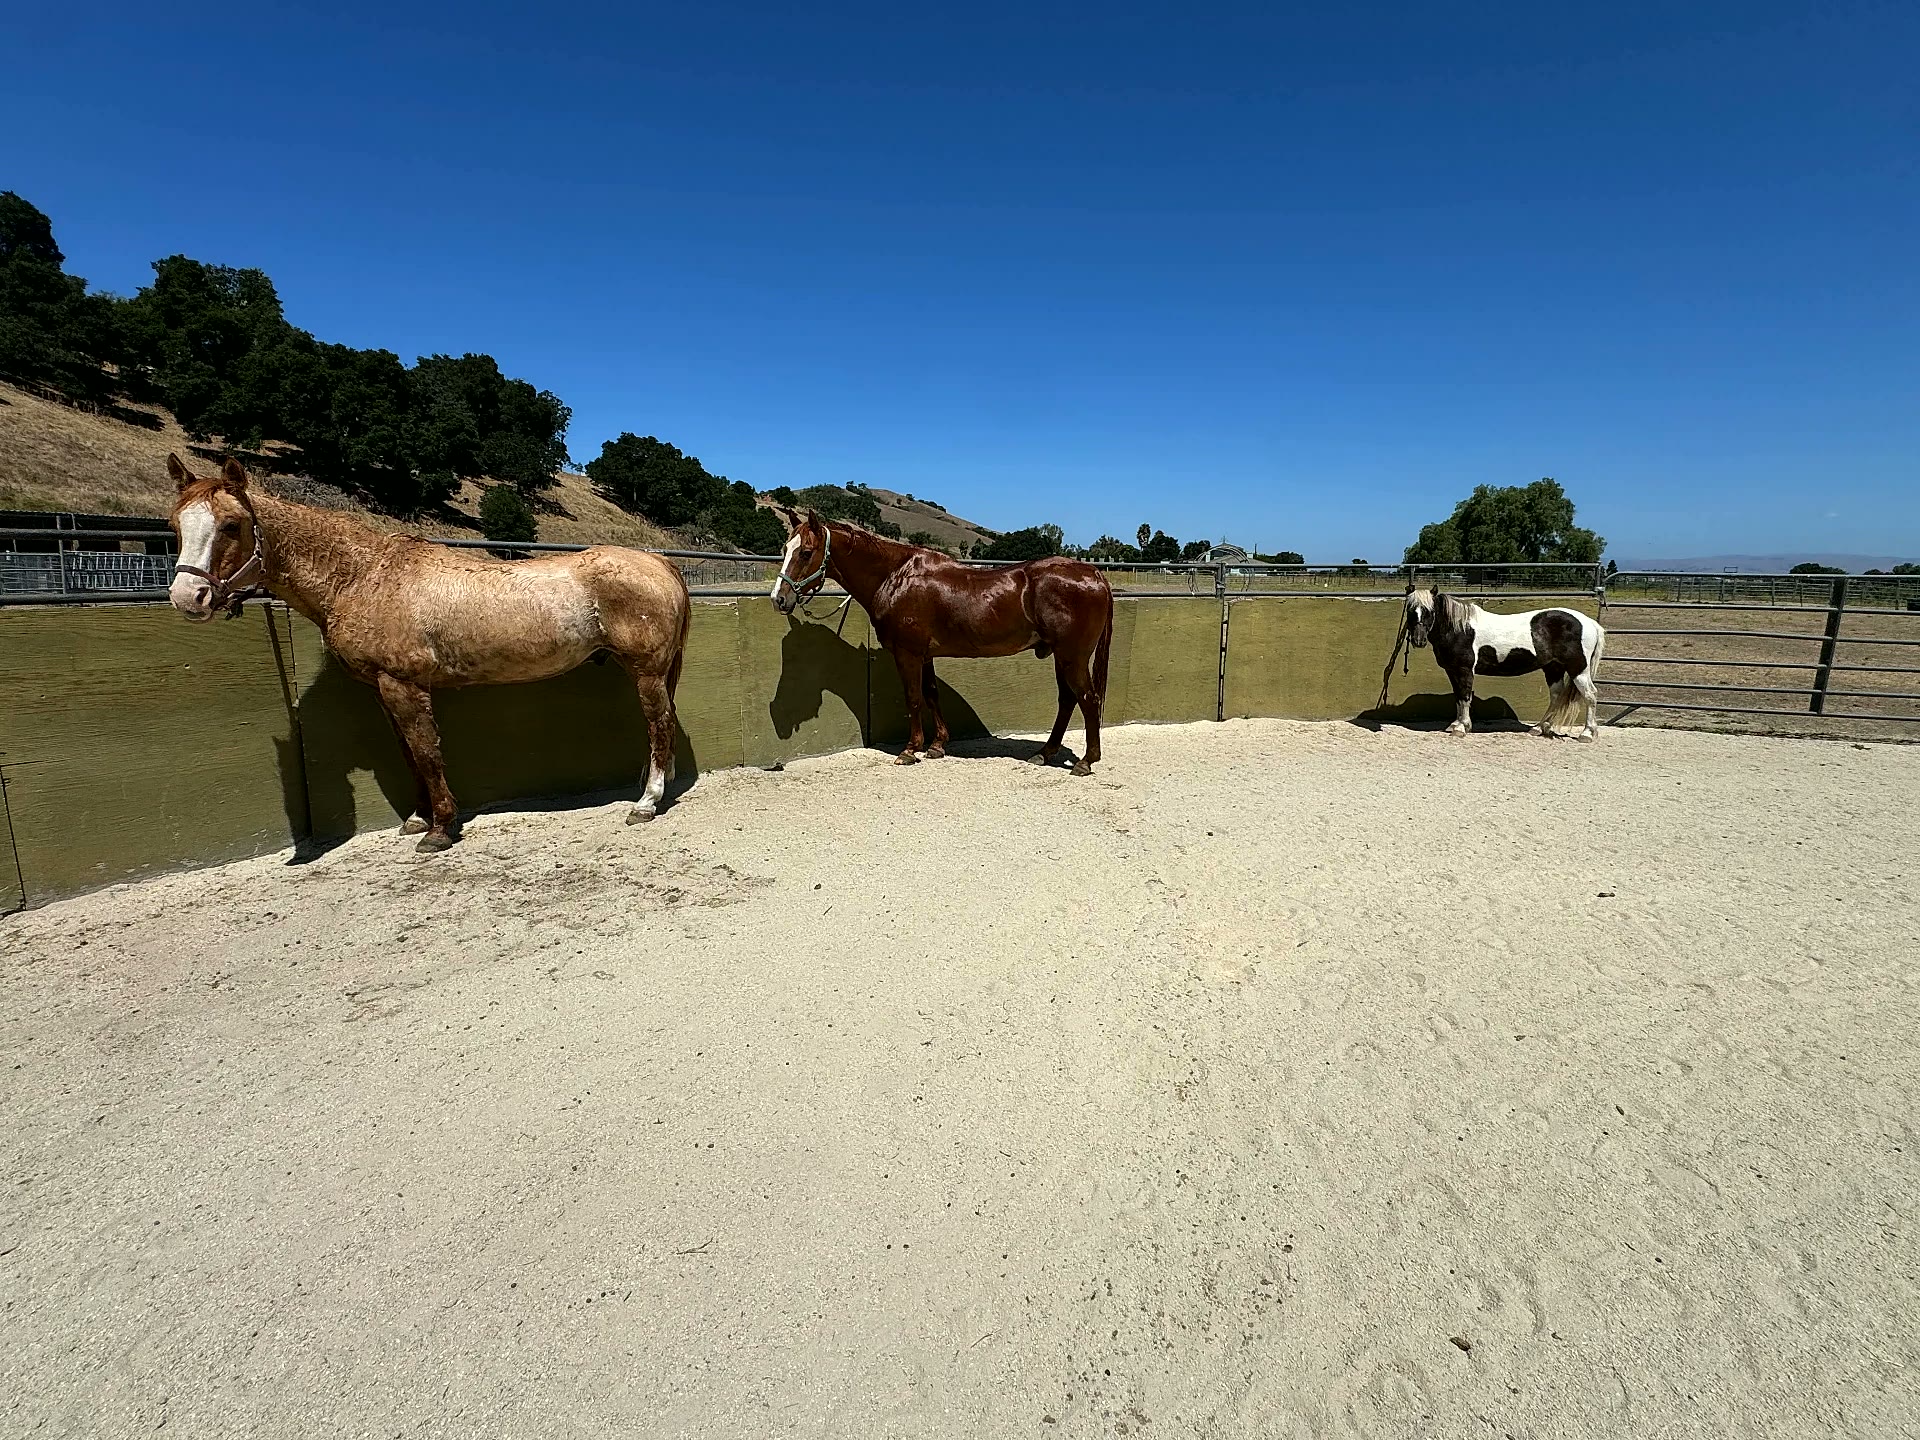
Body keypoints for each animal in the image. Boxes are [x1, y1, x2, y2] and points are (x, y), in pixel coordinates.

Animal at [165, 455, 692, 849]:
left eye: (232, 525)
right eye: (175, 525)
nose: (187, 597)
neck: (363, 576)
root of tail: (659, 562)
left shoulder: (404, 684)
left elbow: (426, 751)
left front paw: (439, 830)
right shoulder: (384, 690)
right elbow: (407, 753)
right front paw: (417, 818)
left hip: (646, 673)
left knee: (658, 726)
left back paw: (646, 802)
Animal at [768, 507, 1114, 774]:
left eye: (806, 552)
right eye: (784, 550)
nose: (779, 599)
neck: (895, 577)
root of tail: (1096, 575)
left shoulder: (907, 653)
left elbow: (913, 698)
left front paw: (910, 750)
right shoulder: (925, 654)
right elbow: (931, 693)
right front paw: (936, 745)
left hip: (1072, 657)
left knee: (1088, 699)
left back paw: (1086, 761)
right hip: (1061, 656)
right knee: (1068, 700)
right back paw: (1045, 753)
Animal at [1403, 585, 1606, 740]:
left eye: (1430, 612)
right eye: (1410, 611)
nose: (1418, 641)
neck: (1461, 629)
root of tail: (1590, 623)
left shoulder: (1464, 670)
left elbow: (1465, 696)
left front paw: (1462, 728)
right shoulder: (1452, 670)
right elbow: (1458, 697)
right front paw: (1455, 724)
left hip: (1578, 668)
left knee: (1590, 695)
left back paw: (1587, 734)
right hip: (1553, 667)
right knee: (1556, 695)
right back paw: (1539, 728)